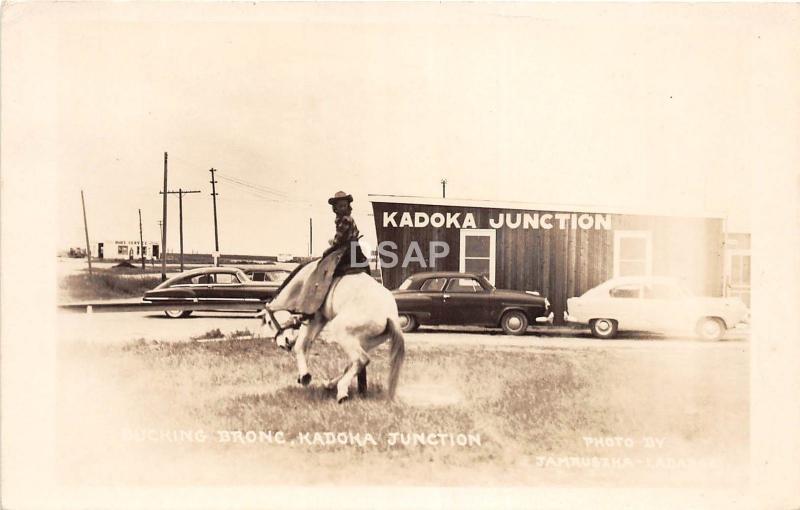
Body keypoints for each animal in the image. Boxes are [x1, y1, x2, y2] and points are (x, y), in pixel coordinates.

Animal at [258, 260, 406, 404]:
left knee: (361, 360)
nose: (285, 343)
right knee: (352, 363)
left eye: (269, 322)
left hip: (342, 331)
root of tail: (390, 315)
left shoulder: (315, 317)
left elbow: (301, 344)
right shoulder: (321, 319)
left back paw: (341, 391)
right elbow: (307, 343)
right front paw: (302, 374)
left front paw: (304, 376)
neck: (304, 280)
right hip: (363, 341)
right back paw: (330, 384)